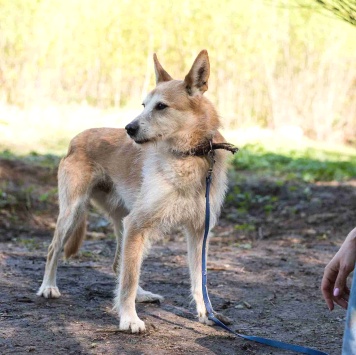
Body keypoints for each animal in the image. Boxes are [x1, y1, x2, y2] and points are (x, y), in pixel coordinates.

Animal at [36, 49, 231, 334]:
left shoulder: (198, 231)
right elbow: (128, 280)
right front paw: (128, 318)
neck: (188, 156)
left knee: (120, 263)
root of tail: (76, 138)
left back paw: (142, 295)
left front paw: (207, 314)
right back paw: (48, 287)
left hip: (125, 223)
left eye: (161, 106)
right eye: (143, 105)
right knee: (54, 250)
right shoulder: (139, 224)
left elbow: (199, 280)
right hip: (76, 213)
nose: (129, 129)